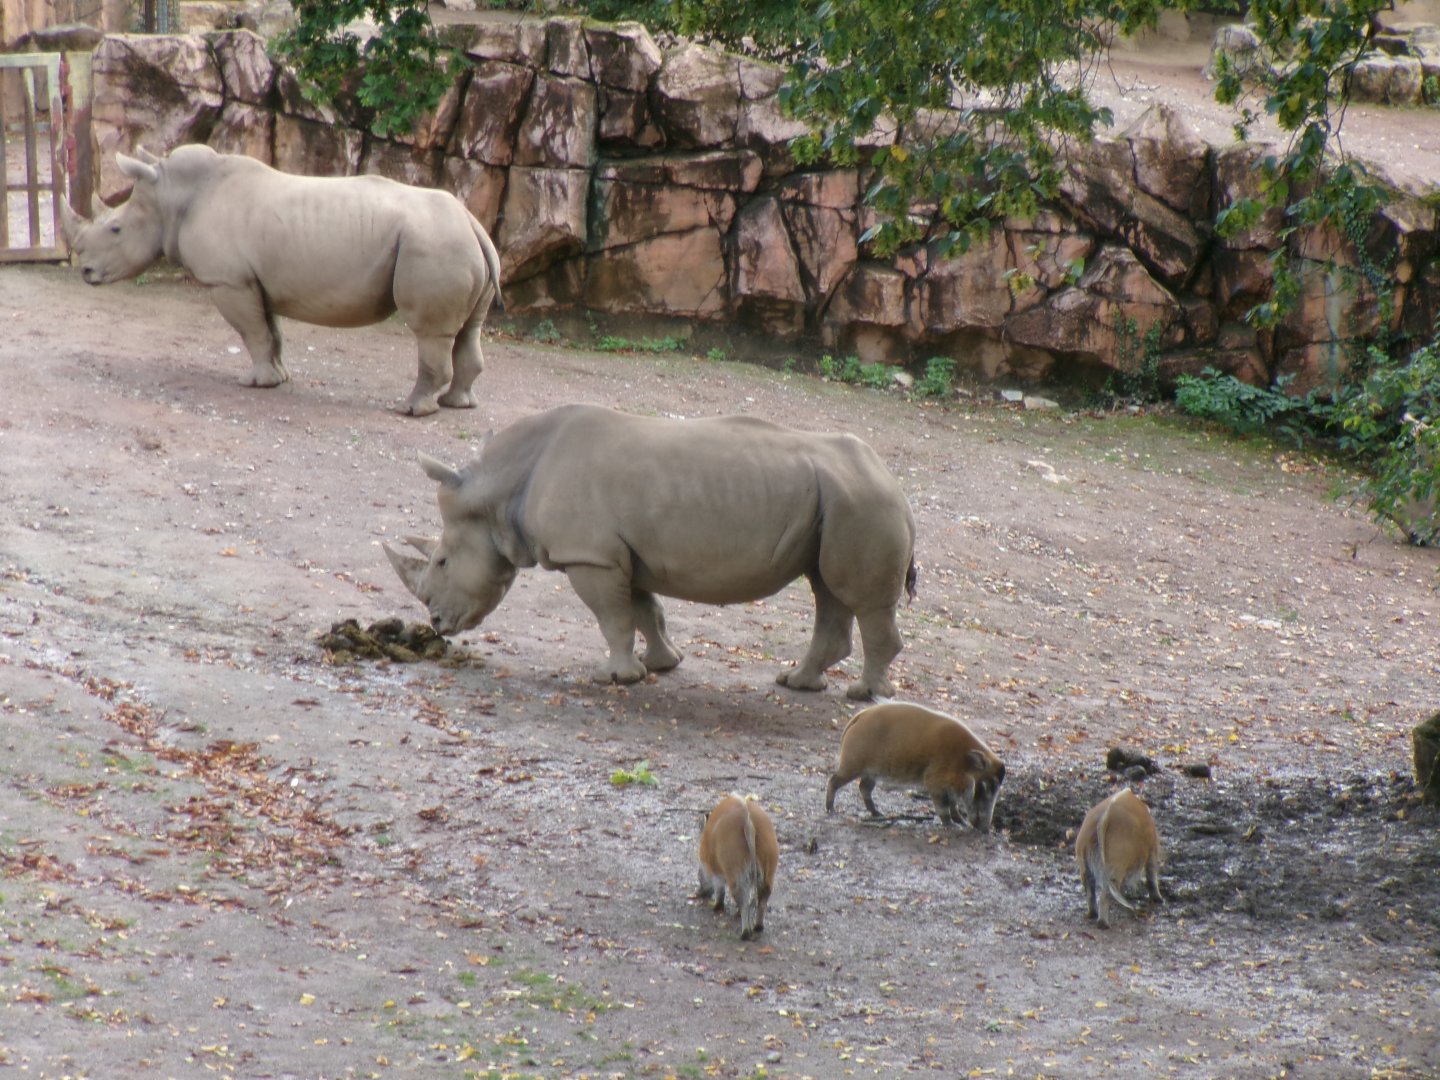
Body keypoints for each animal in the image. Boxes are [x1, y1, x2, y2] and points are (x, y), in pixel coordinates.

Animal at [59, 144, 502, 417]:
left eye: (115, 229)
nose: (85, 272)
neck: (172, 197)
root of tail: (473, 223)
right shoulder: (255, 280)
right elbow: (271, 332)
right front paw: (278, 379)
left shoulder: (228, 281)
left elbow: (251, 332)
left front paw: (254, 384)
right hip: (462, 244)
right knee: (468, 330)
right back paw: (458, 404)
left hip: (434, 243)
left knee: (430, 331)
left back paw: (412, 410)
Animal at [385, 404, 918, 699]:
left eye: (442, 562)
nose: (437, 624)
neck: (502, 490)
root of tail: (896, 485)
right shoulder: (622, 554)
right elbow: (645, 610)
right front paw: (662, 664)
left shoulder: (590, 555)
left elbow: (613, 617)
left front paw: (615, 678)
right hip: (841, 502)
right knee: (827, 587)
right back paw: (797, 684)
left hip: (863, 503)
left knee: (857, 597)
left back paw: (862, 695)